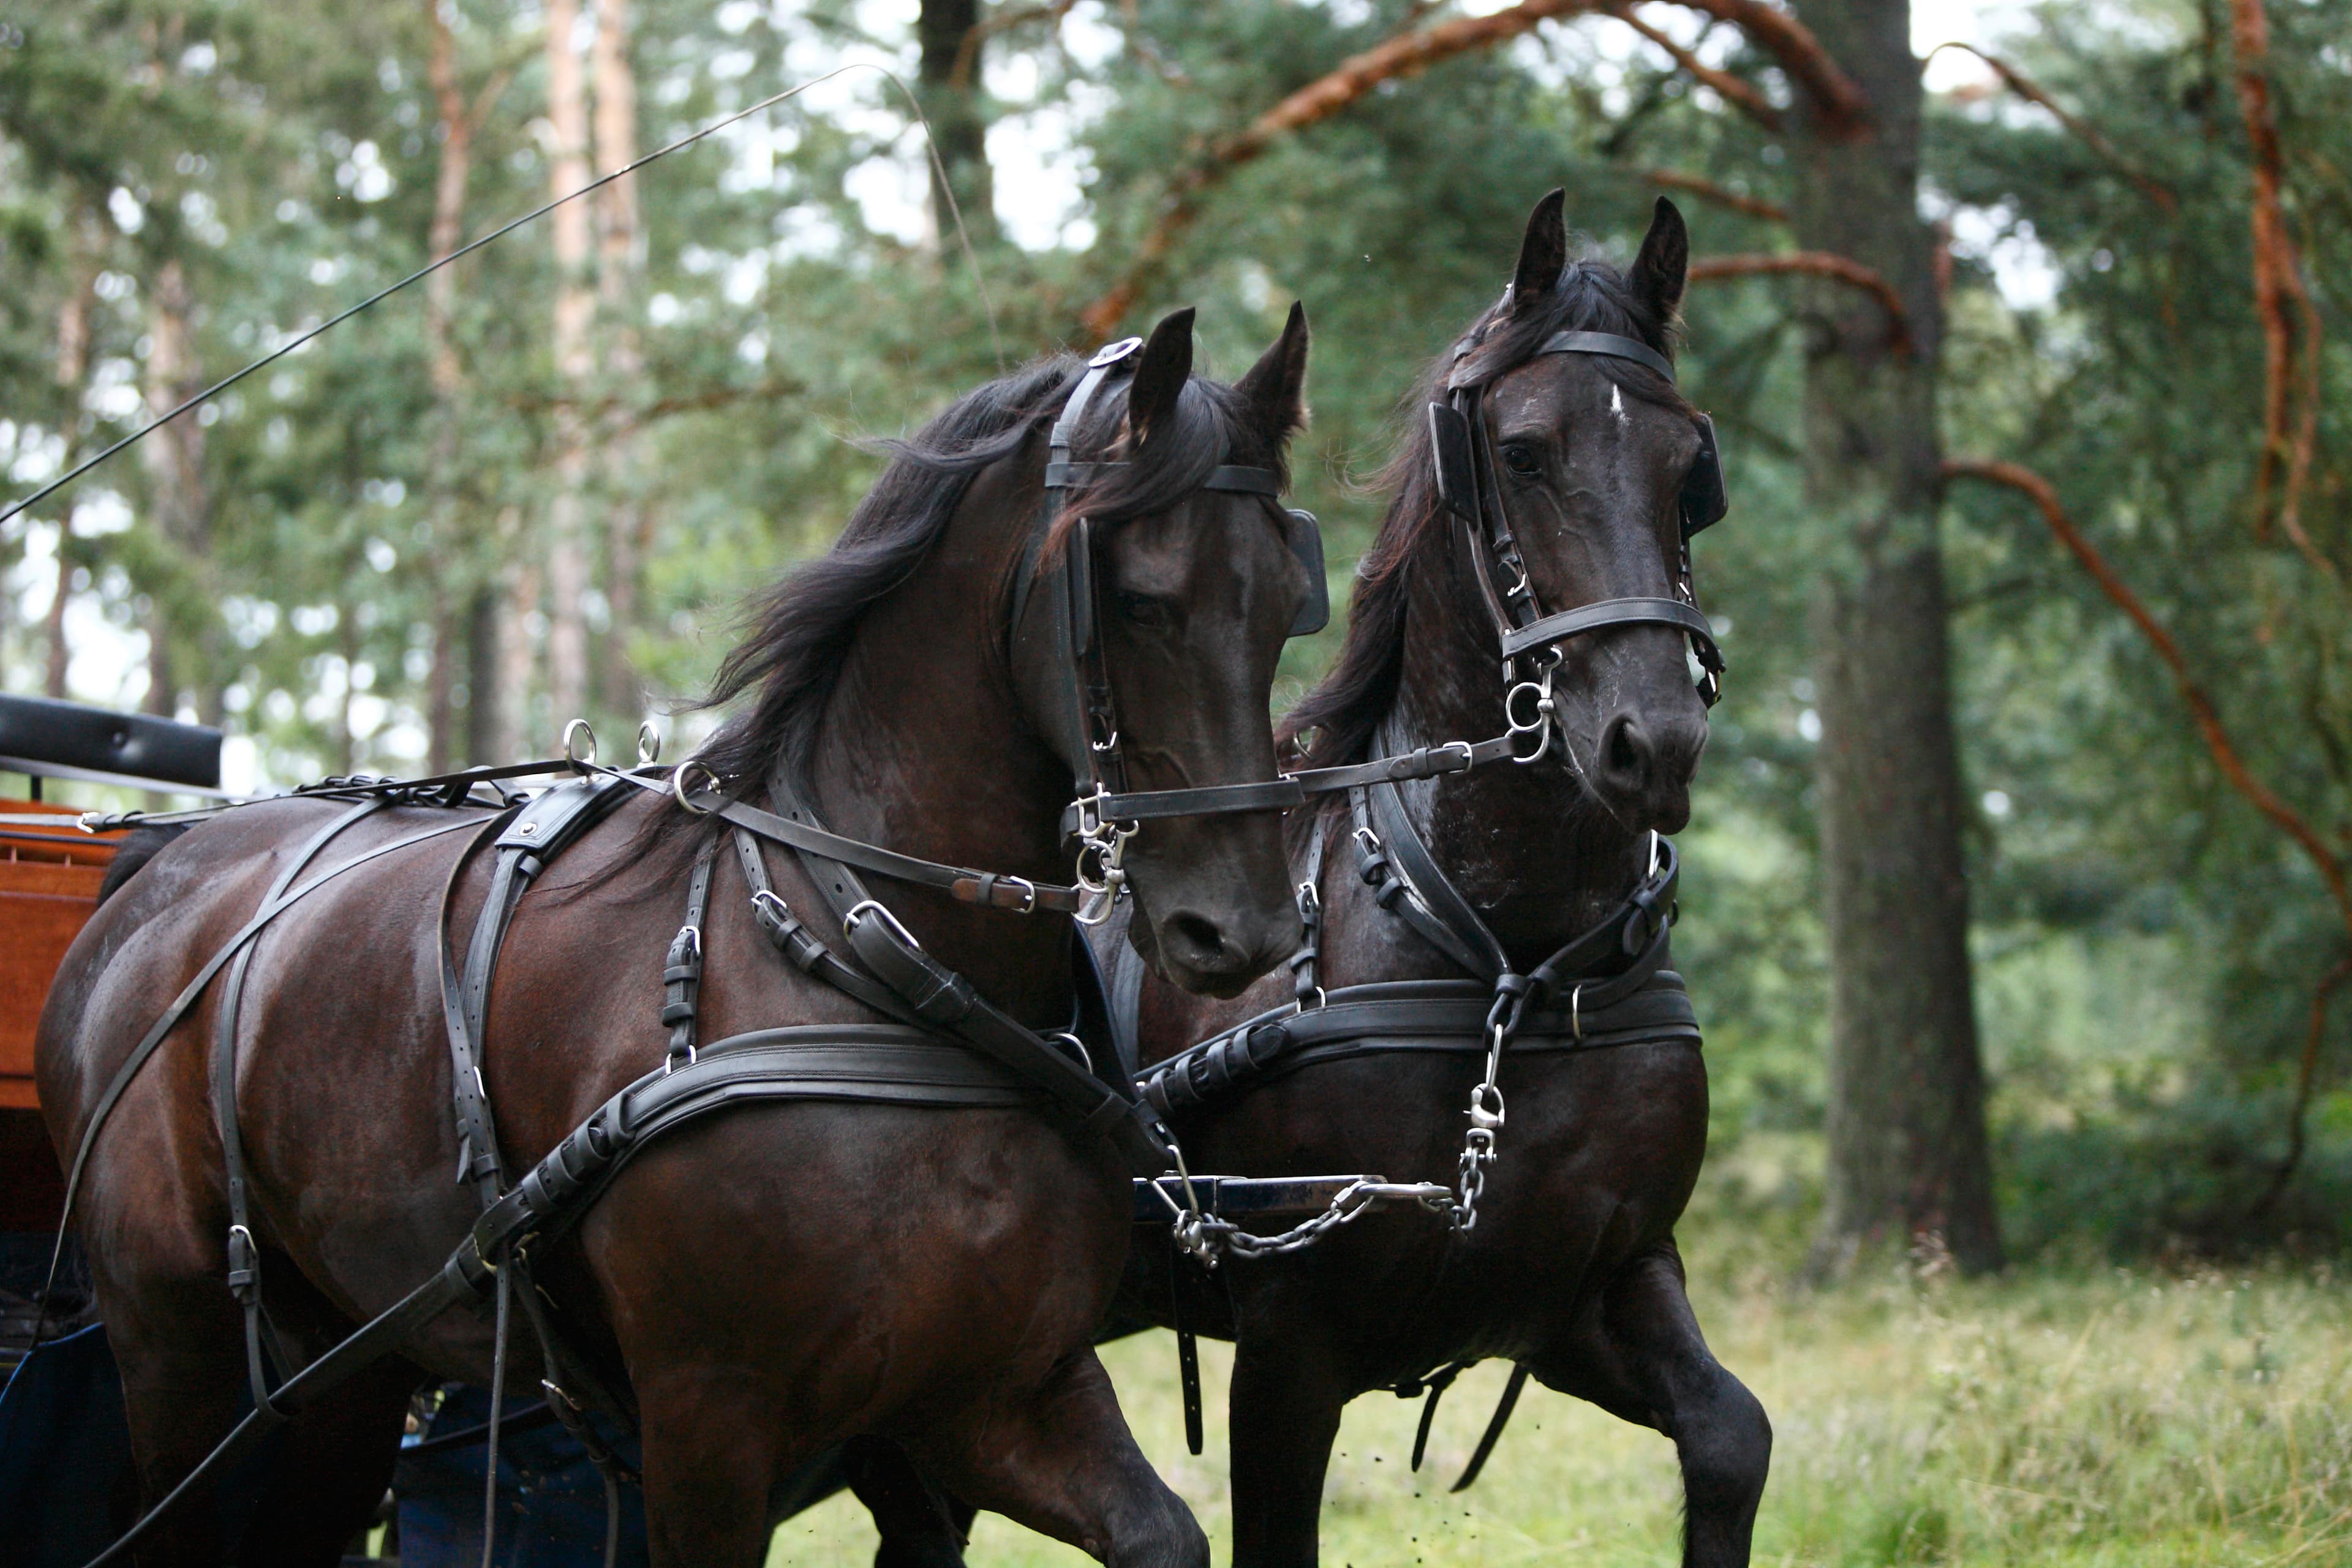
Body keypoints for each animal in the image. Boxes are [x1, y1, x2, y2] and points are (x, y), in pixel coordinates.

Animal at [41, 305, 1326, 1568]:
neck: (874, 969)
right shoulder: (711, 1422)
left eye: (1285, 605)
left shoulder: (997, 1392)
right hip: (177, 1349)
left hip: (350, 1360)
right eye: (1143, 600)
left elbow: (1162, 1537)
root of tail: (157, 878)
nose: (1243, 924)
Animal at [1096, 202, 1768, 1561]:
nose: (1656, 742)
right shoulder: (1288, 1348)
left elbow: (1732, 1438)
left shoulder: (1593, 1286)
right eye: (1521, 452)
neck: (1510, 960)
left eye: (1691, 469)